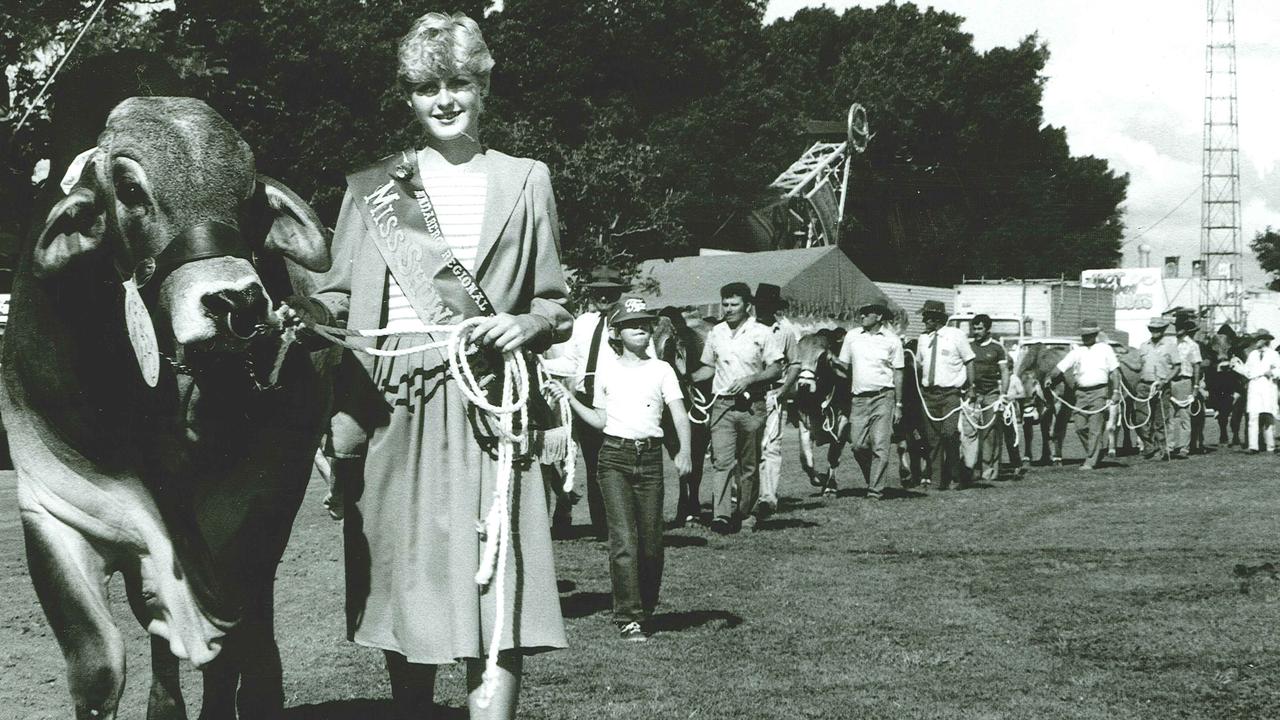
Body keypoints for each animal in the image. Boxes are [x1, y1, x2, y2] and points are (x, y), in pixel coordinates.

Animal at [2, 96, 332, 717]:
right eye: (130, 189)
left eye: (249, 190)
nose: (236, 302)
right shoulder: (54, 506)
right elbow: (100, 665)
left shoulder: (262, 504)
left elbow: (238, 642)